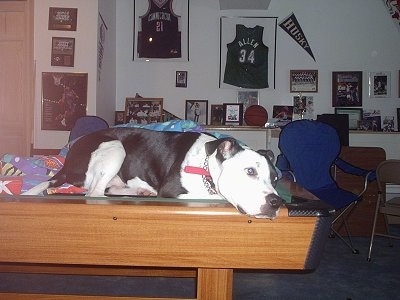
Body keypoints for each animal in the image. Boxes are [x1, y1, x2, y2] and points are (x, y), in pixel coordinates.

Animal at [23, 127, 282, 219]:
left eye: (275, 178)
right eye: (250, 171)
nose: (276, 202)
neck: (206, 164)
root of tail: (66, 164)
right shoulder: (171, 190)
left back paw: (139, 191)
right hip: (115, 147)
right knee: (94, 193)